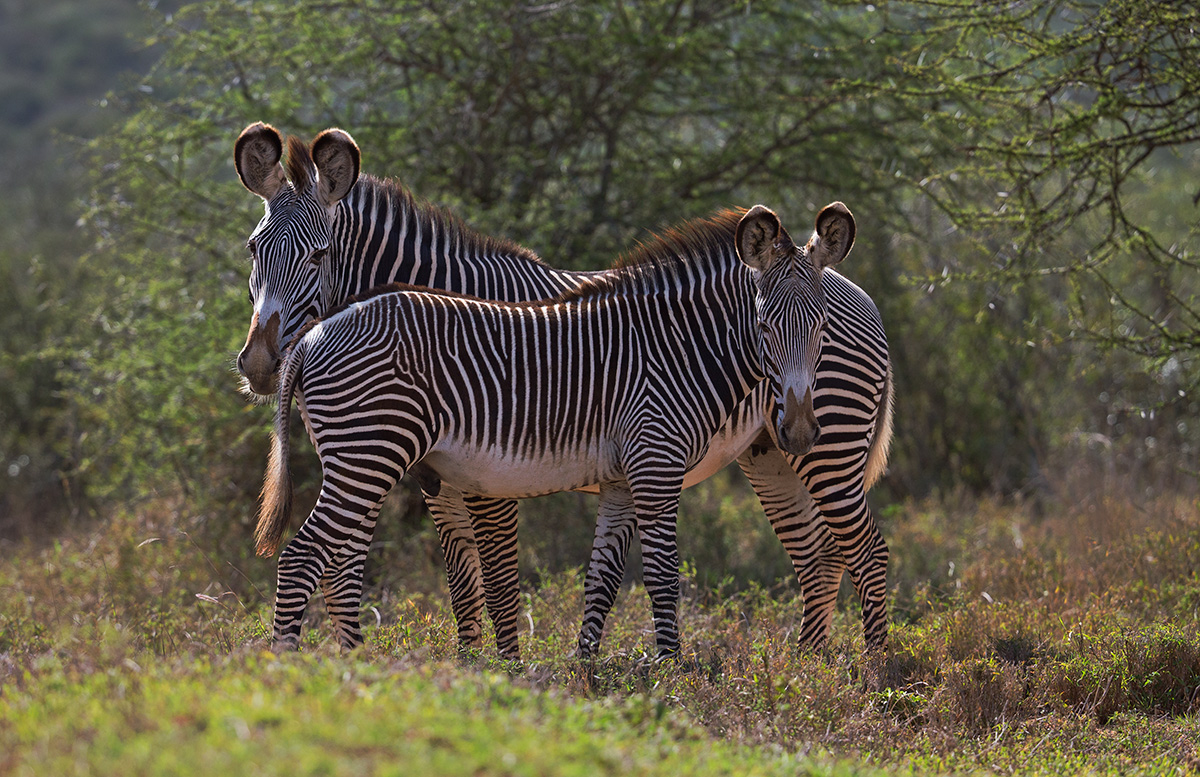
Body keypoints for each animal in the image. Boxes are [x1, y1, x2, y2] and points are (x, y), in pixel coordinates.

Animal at [234, 123, 893, 656]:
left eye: (319, 255)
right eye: (253, 249)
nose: (259, 364)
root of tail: (857, 290)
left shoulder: (486, 475)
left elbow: (506, 577)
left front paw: (511, 667)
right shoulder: (455, 474)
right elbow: (476, 580)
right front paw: (494, 667)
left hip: (821, 447)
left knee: (856, 551)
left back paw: (859, 671)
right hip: (773, 453)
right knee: (822, 556)